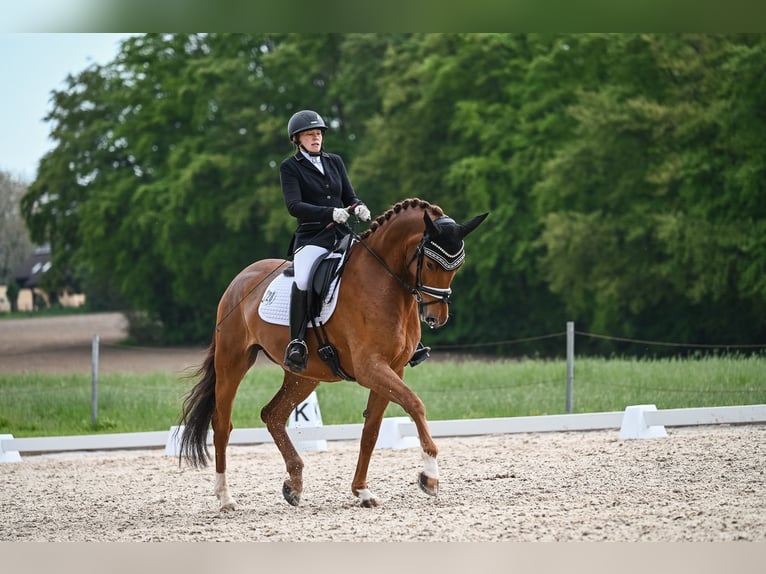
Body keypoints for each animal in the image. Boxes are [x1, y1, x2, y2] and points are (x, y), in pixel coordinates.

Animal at [182, 200, 486, 510]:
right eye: (431, 263)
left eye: (457, 266)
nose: (437, 318)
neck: (383, 282)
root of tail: (240, 279)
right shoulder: (370, 368)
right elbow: (414, 404)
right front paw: (430, 476)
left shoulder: (393, 368)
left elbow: (371, 431)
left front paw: (362, 491)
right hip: (232, 361)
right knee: (222, 424)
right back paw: (225, 497)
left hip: (303, 375)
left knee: (272, 414)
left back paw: (294, 484)